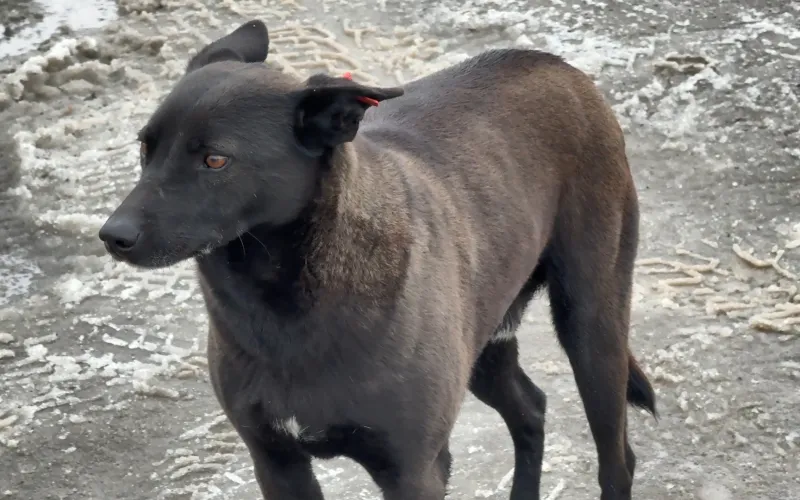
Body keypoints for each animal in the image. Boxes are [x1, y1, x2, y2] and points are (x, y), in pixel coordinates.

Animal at [99, 19, 656, 500]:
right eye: (145, 149)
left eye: (215, 159)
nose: (112, 236)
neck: (284, 307)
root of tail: (556, 64)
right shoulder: (276, 462)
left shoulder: (414, 471)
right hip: (485, 340)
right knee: (530, 410)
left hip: (592, 328)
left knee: (618, 460)